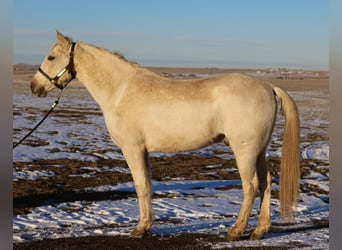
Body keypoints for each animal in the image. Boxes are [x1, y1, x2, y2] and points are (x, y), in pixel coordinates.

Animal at [32, 31, 300, 240]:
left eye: (51, 57)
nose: (35, 87)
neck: (120, 91)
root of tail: (268, 86)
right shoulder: (143, 151)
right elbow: (147, 185)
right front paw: (146, 225)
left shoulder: (132, 148)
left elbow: (140, 185)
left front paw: (140, 228)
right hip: (259, 151)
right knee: (266, 183)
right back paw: (259, 230)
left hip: (244, 150)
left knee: (251, 186)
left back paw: (236, 231)